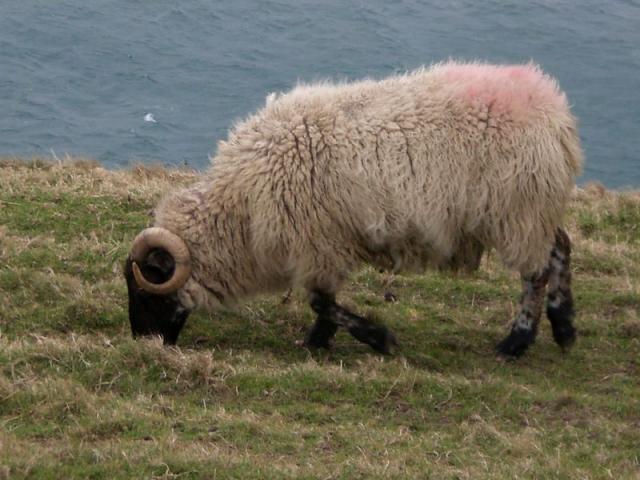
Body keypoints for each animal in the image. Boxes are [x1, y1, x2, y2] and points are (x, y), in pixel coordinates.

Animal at [124, 61, 583, 358]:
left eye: (147, 284)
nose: (142, 342)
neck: (243, 208)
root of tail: (555, 112)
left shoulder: (317, 242)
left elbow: (321, 301)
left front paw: (374, 339)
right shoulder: (321, 244)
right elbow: (324, 300)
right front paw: (322, 340)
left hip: (518, 211)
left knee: (535, 273)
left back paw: (516, 343)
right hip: (533, 211)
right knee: (560, 246)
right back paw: (564, 327)